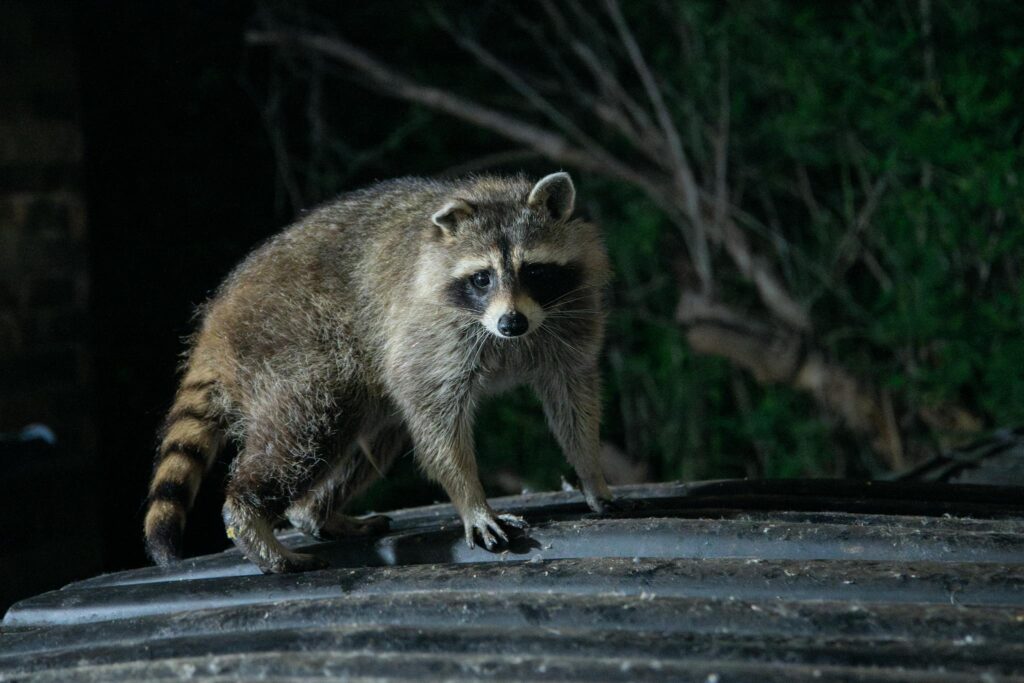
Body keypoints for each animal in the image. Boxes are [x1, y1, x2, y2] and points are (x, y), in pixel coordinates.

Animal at [143, 172, 615, 573]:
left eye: (533, 270)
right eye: (482, 278)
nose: (511, 323)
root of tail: (214, 322)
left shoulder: (571, 316)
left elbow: (573, 397)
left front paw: (591, 472)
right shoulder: (427, 329)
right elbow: (436, 417)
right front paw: (471, 499)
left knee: (371, 433)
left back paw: (314, 512)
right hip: (290, 342)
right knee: (307, 427)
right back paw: (250, 519)